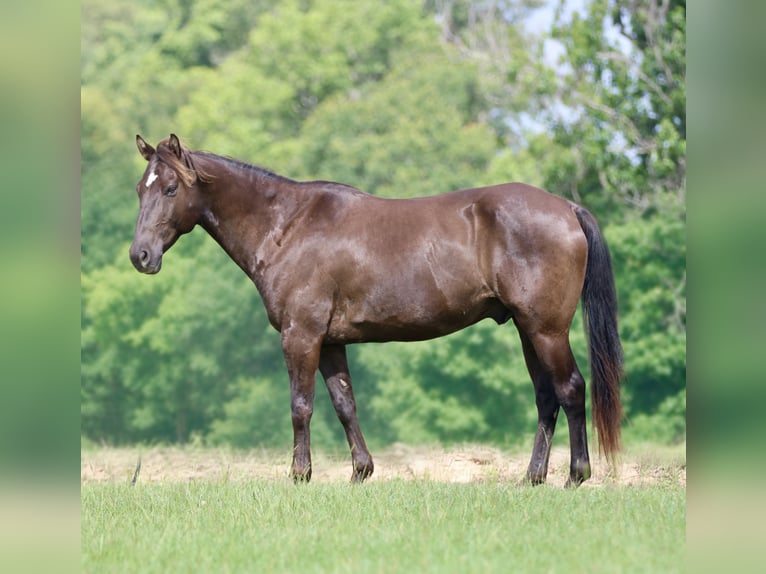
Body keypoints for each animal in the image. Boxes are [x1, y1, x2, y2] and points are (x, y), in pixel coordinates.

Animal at [129, 134, 623, 486]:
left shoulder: (301, 335)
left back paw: (576, 477)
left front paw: (300, 475)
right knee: (546, 396)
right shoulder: (330, 341)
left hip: (546, 330)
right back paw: (532, 478)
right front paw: (360, 472)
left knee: (570, 389)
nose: (141, 256)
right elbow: (344, 403)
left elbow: (301, 405)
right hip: (526, 330)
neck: (287, 226)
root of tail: (567, 207)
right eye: (140, 189)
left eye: (170, 188)